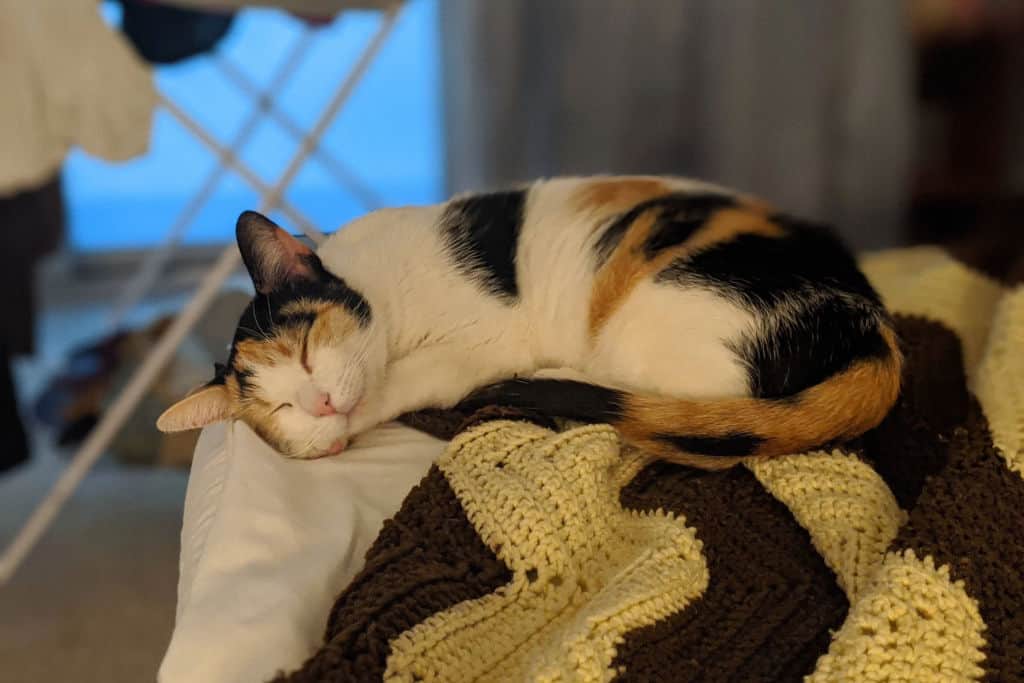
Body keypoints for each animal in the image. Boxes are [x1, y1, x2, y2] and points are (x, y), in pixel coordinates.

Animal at [155, 175, 901, 471]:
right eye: (279, 408)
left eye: (308, 346)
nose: (318, 404)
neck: (389, 306)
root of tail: (870, 324)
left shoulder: (485, 338)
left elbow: (409, 377)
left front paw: (355, 415)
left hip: (652, 316)